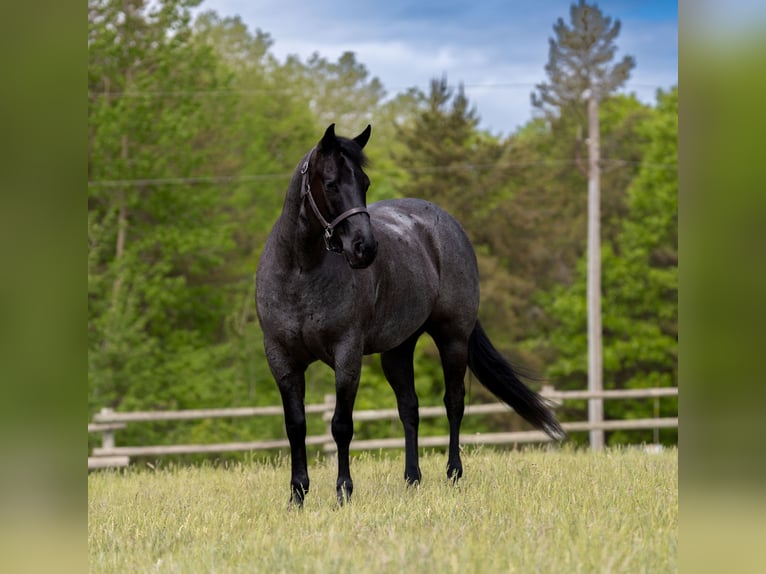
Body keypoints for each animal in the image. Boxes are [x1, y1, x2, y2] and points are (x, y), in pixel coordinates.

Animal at [255, 124, 566, 506]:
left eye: (365, 182)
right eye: (330, 183)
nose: (365, 248)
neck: (300, 270)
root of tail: (446, 224)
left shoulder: (347, 355)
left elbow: (341, 425)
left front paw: (344, 491)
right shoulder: (281, 358)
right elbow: (296, 425)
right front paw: (297, 495)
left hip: (452, 339)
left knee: (453, 403)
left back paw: (453, 473)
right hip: (398, 350)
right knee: (410, 408)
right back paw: (412, 478)